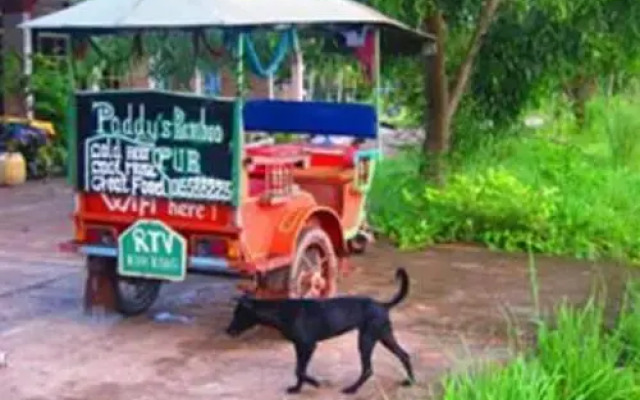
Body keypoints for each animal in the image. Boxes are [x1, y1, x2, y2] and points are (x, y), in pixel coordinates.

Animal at [226, 268, 416, 396]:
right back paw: (411, 381)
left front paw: (315, 383)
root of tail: (383, 305)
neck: (281, 311)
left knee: (368, 369)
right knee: (404, 355)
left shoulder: (309, 345)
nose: (227, 331)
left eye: (238, 314)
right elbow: (299, 369)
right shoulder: (299, 347)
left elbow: (300, 371)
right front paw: (297, 389)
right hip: (384, 336)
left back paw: (352, 389)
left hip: (366, 339)